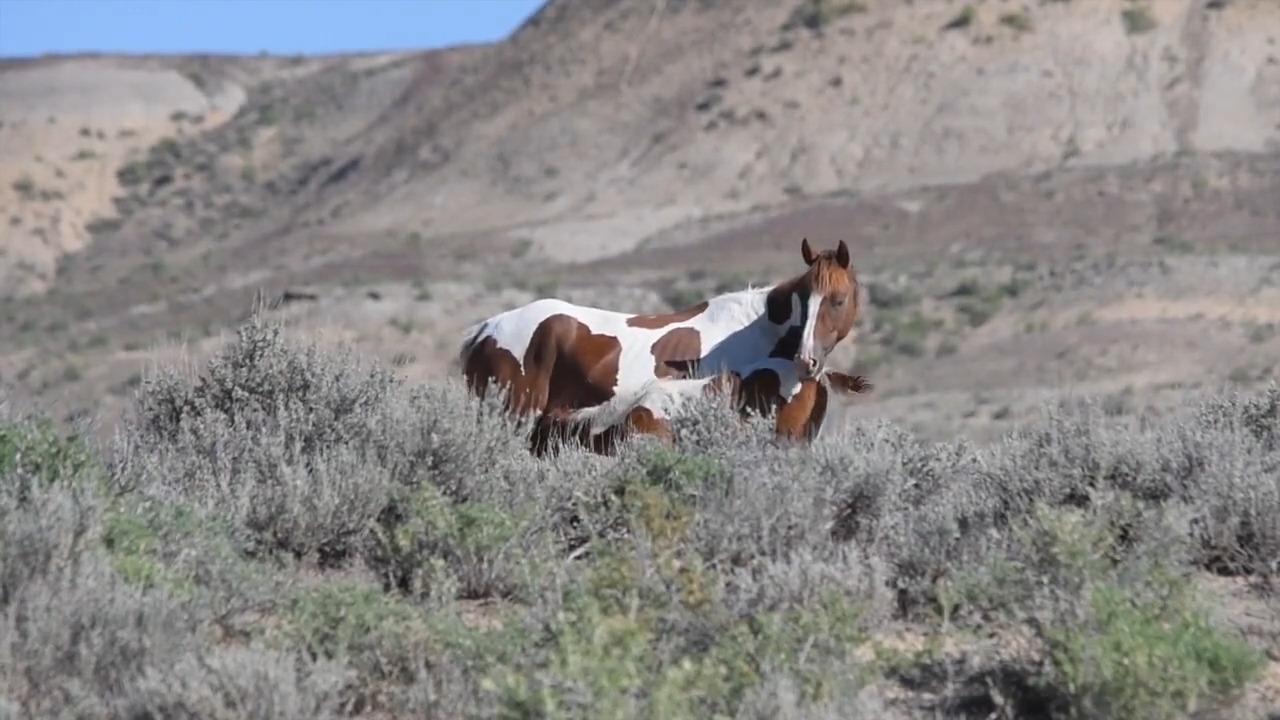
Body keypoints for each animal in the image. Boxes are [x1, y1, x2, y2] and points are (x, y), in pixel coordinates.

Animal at [458, 238, 860, 450]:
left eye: (837, 300)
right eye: (805, 299)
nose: (807, 360)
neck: (757, 330)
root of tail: (485, 330)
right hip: (515, 418)